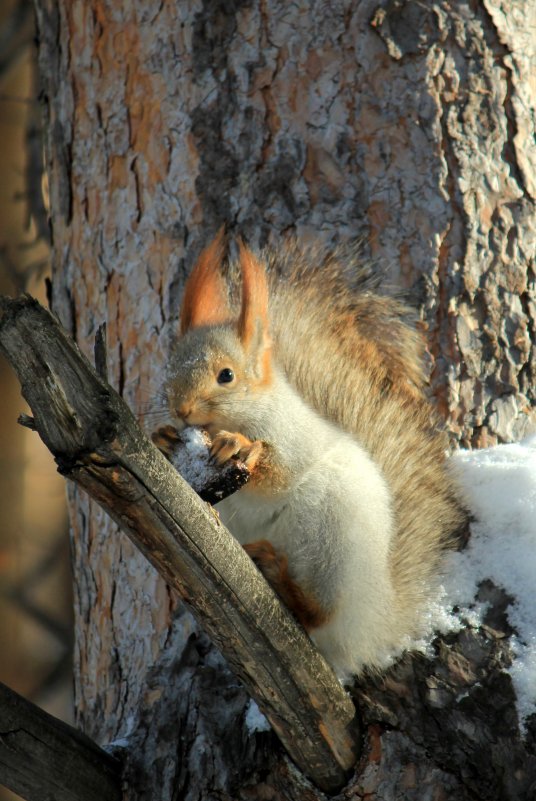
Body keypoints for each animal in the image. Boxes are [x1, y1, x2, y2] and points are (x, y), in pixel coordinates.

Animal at [156, 228, 468, 680]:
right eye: (169, 373)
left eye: (226, 375)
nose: (180, 410)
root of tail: (374, 622)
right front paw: (163, 438)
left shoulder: (293, 439)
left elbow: (275, 476)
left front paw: (238, 446)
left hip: (330, 539)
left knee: (320, 613)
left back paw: (285, 583)